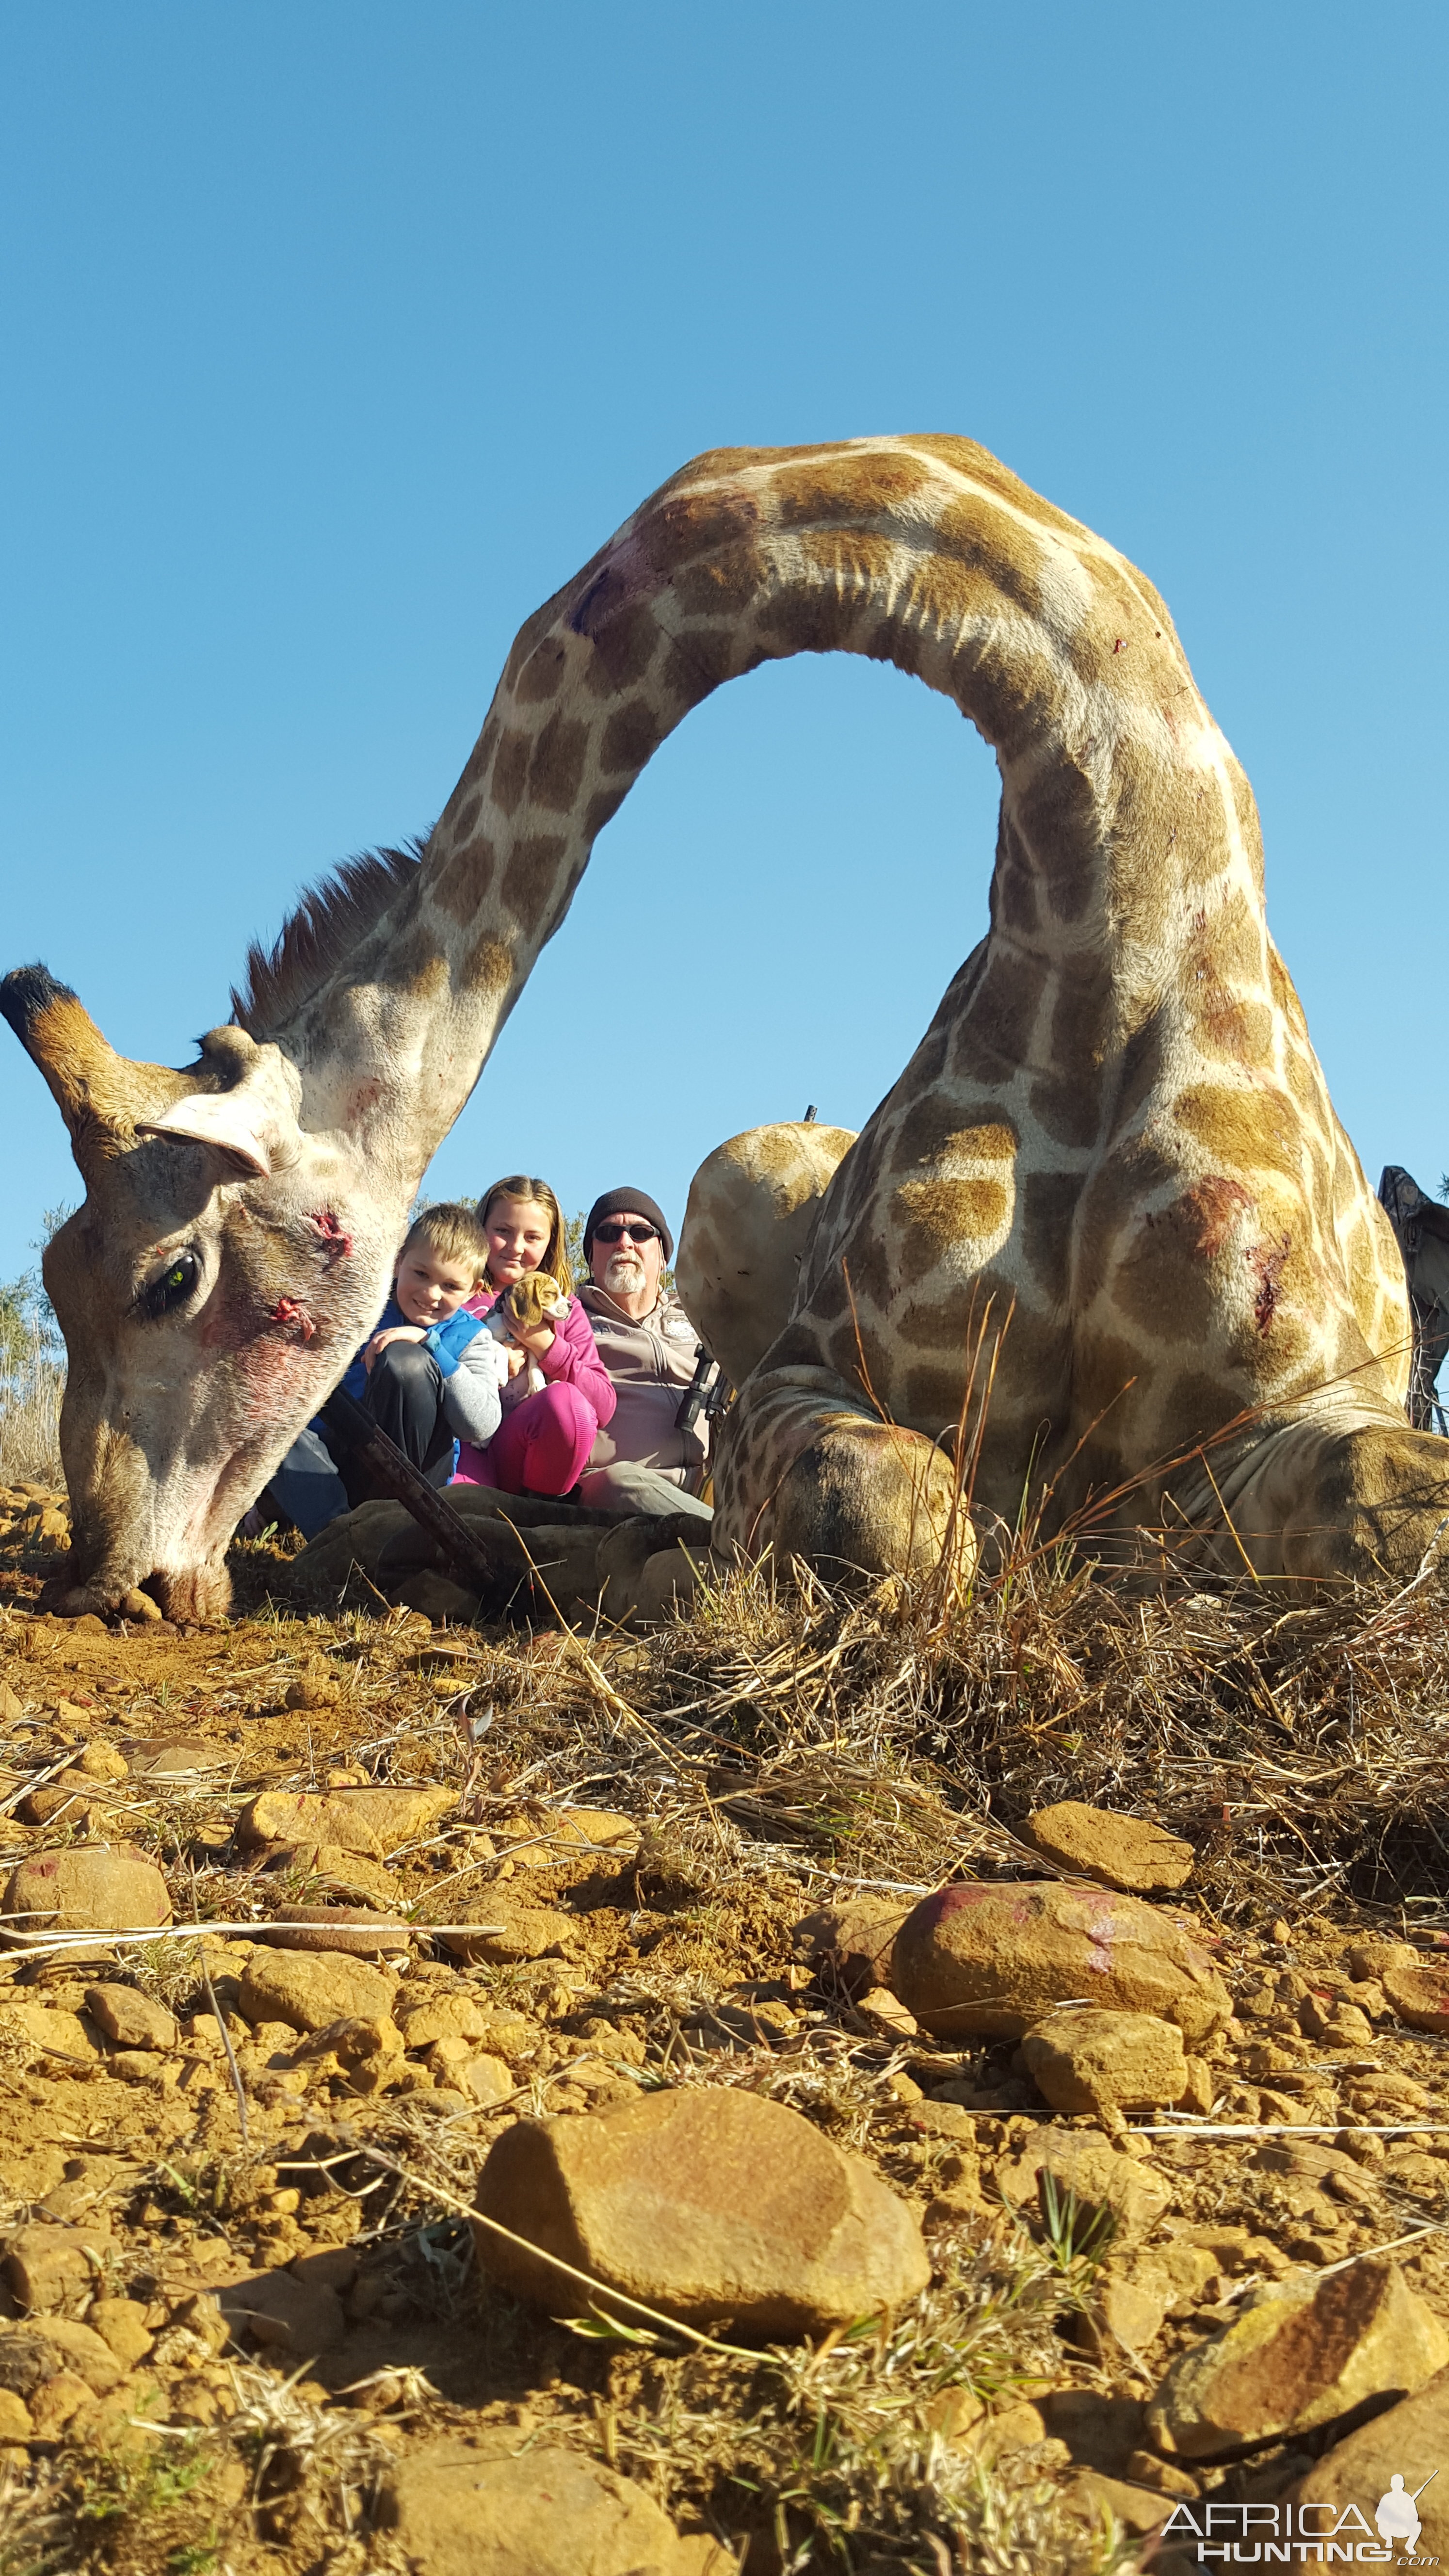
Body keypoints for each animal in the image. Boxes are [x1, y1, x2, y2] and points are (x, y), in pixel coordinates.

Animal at [2, 433, 1444, 1617]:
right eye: (58, 1280)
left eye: (167, 1277)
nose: (113, 1579)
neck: (1112, 926)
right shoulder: (796, 1382)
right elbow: (887, 1515)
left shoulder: (1291, 1410)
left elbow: (1393, 1500)